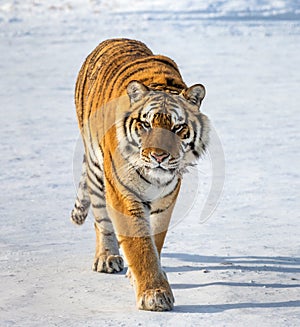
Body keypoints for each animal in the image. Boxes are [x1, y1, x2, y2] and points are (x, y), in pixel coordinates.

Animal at [71, 38, 210, 312]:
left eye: (178, 127)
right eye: (146, 124)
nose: (159, 156)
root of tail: (114, 38)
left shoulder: (166, 198)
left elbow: (154, 239)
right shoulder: (123, 193)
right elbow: (140, 245)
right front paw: (154, 295)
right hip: (96, 170)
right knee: (101, 219)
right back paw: (107, 257)